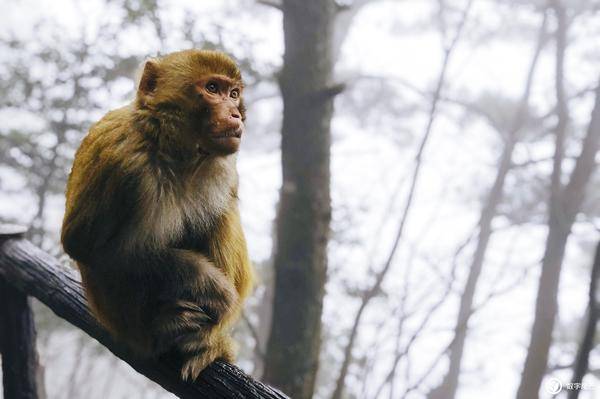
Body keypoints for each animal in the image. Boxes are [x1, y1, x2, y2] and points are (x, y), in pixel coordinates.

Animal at [62, 50, 254, 382]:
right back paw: (165, 327)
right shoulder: (118, 156)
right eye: (212, 88)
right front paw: (203, 280)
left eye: (233, 94)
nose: (235, 114)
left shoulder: (224, 170)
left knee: (221, 214)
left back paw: (209, 341)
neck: (176, 152)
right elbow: (84, 245)